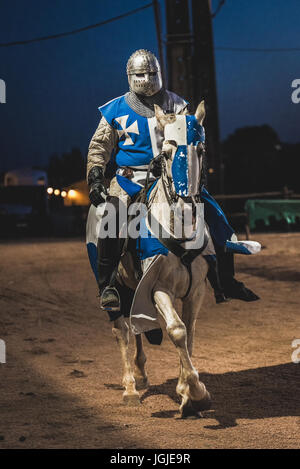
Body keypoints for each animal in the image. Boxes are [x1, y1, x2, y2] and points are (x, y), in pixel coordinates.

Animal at [86, 101, 212, 416]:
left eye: (201, 150)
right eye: (166, 153)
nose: (186, 207)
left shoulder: (196, 290)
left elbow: (190, 333)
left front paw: (185, 391)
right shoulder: (158, 288)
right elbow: (177, 330)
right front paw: (195, 393)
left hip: (134, 287)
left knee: (136, 327)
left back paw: (141, 374)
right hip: (114, 288)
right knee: (122, 330)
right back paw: (130, 387)